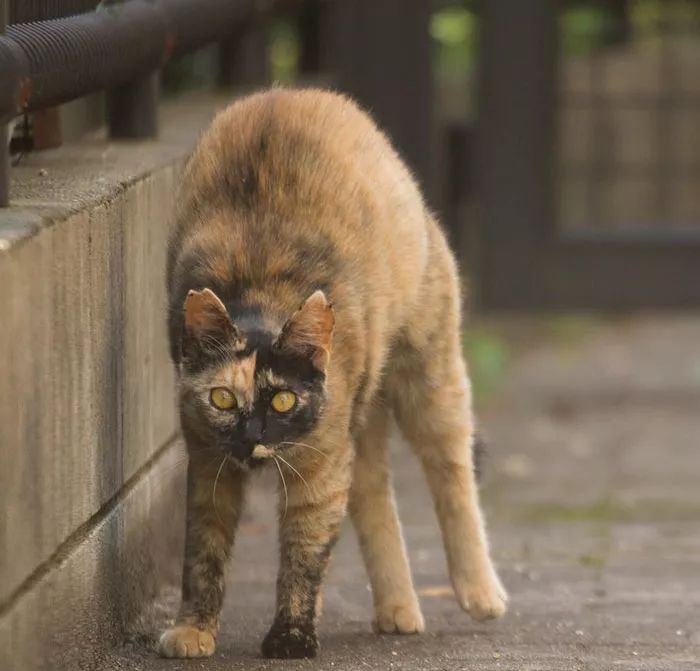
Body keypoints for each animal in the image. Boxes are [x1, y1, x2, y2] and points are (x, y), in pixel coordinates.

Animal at [160, 89, 508, 660]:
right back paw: (397, 607)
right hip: (357, 425)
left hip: (427, 379)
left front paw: (291, 636)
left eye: (282, 400)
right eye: (223, 399)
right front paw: (193, 629)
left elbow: (304, 552)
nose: (252, 438)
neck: (260, 296)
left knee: (453, 475)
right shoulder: (209, 462)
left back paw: (480, 592)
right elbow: (202, 552)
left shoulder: (318, 467)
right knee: (372, 493)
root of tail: (295, 93)